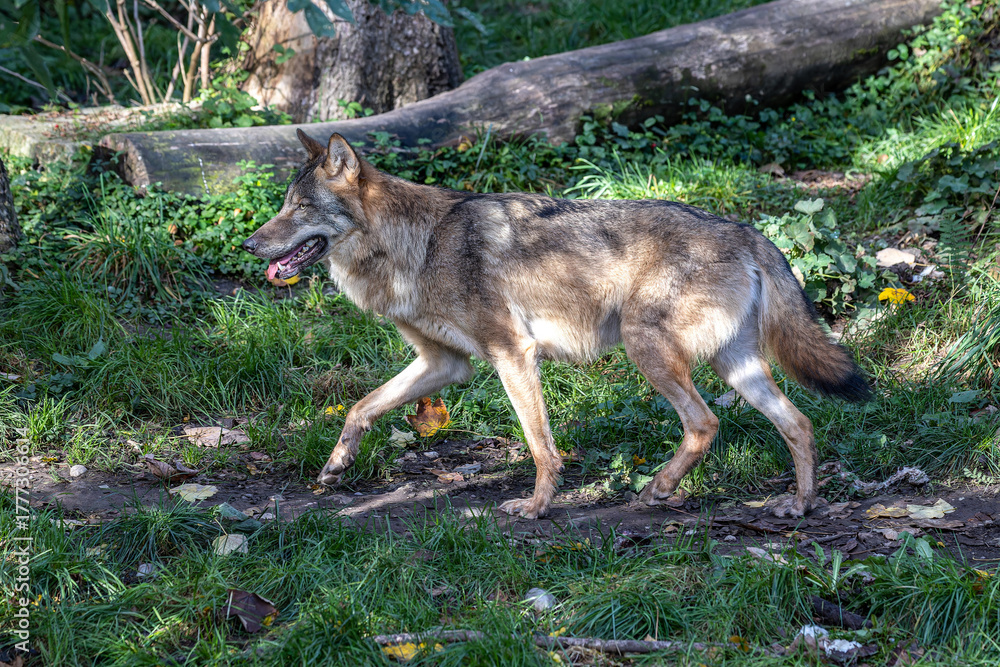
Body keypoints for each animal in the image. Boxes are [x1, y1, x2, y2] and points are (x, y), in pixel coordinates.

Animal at [242, 130, 871, 519]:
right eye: (283, 204)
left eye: (300, 208)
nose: (250, 245)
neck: (417, 245)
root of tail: (747, 231)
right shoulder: (444, 364)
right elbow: (361, 407)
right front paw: (335, 466)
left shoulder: (512, 354)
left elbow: (540, 445)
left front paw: (537, 507)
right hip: (733, 364)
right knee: (799, 423)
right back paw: (799, 505)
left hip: (649, 351)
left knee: (705, 423)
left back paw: (658, 489)